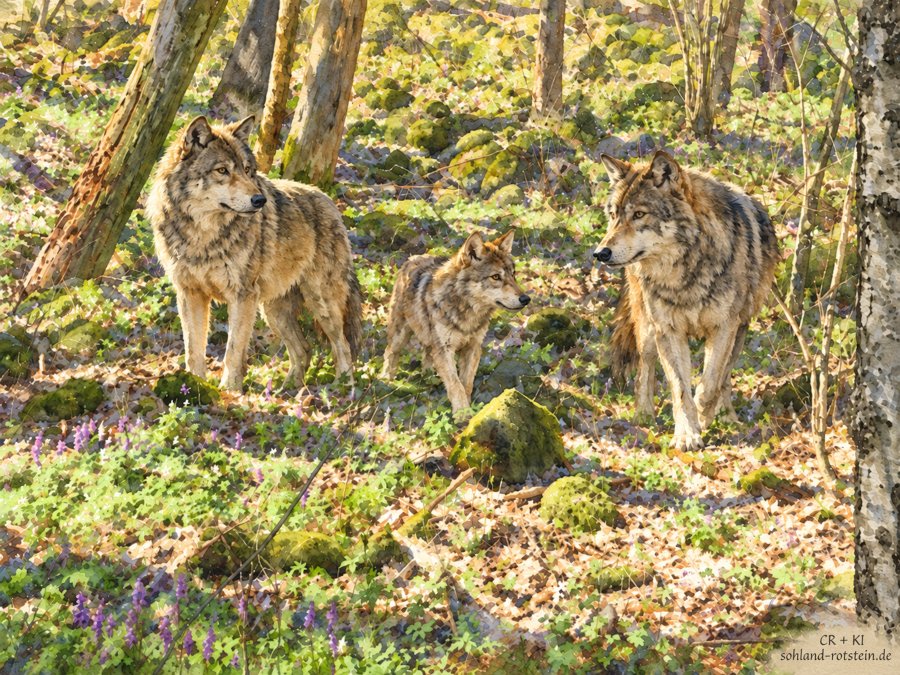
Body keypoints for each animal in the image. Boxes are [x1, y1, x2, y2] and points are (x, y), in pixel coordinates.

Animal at [147, 115, 362, 391]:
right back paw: (287, 389)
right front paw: (196, 386)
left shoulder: (242, 296)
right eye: (222, 171)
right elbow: (193, 350)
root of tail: (330, 202)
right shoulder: (189, 293)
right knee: (304, 349)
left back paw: (343, 388)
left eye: (248, 170)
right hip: (273, 310)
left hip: (320, 302)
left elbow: (232, 351)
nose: (260, 200)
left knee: (342, 344)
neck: (202, 236)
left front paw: (229, 391)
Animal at [381, 230, 531, 413]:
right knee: (390, 352)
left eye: (513, 274)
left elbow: (466, 384)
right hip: (400, 334)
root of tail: (413, 258)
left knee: (427, 355)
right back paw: (386, 380)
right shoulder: (445, 350)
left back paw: (429, 377)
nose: (526, 299)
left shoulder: (473, 347)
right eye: (495, 277)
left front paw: (469, 411)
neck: (467, 311)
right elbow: (455, 385)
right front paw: (462, 414)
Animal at [594, 151, 778, 450]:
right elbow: (680, 389)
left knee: (725, 376)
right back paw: (643, 414)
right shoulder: (668, 331)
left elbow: (708, 385)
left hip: (741, 330)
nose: (600, 253)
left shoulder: (724, 328)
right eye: (613, 215)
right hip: (647, 328)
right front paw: (687, 434)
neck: (683, 274)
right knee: (645, 368)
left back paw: (728, 416)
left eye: (639, 214)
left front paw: (705, 419)